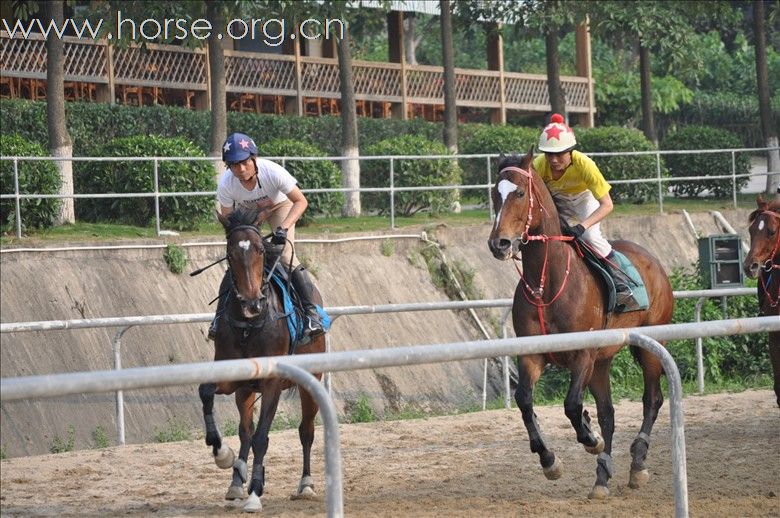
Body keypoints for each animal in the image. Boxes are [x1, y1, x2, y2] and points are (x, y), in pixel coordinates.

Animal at [488, 152, 676, 502]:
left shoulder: (583, 354)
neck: (546, 284)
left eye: (519, 193)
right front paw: (550, 460)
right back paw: (602, 479)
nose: (500, 244)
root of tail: (652, 259)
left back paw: (638, 463)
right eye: (495, 193)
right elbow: (524, 400)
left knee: (652, 399)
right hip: (603, 360)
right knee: (609, 413)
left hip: (649, 346)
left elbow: (572, 405)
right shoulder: (532, 354)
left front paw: (590, 439)